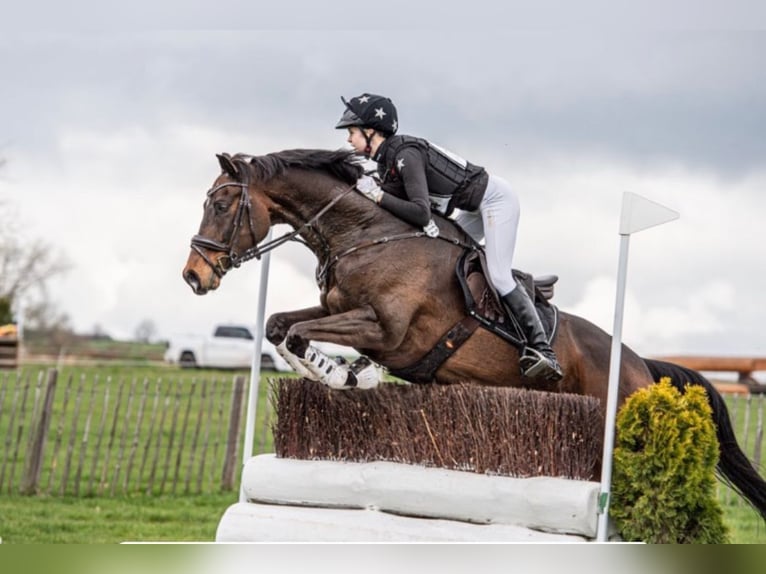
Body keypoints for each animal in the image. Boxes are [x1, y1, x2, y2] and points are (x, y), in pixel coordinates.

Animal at [183, 148, 764, 520]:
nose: (194, 276)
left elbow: (301, 333)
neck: (367, 235)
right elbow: (281, 326)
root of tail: (643, 366)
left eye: (220, 204)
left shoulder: (386, 330)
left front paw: (344, 375)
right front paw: (348, 374)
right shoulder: (345, 314)